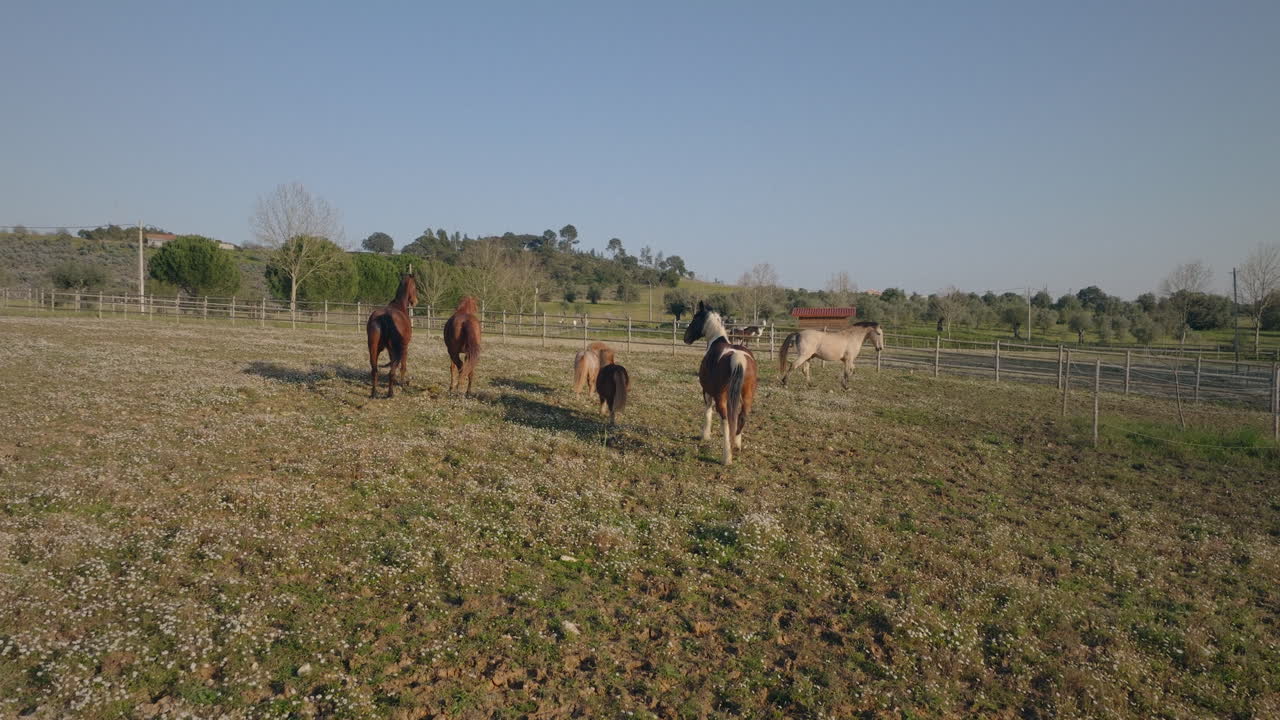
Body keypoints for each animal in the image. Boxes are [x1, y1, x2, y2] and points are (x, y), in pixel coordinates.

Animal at [683, 300, 758, 465]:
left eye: (695, 318)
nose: (686, 337)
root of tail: (738, 358)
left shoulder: (706, 391)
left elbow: (707, 411)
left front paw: (705, 435)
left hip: (721, 398)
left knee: (726, 421)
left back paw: (727, 457)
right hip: (747, 396)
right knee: (741, 417)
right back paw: (736, 446)